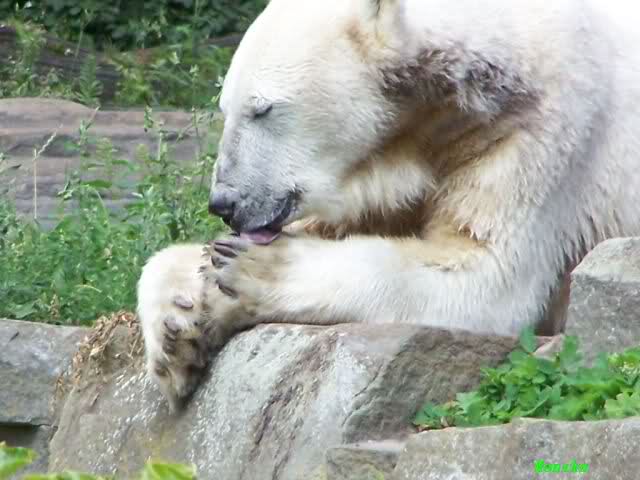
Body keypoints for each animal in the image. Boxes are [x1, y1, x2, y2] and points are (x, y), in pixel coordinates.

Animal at [138, 0, 640, 409]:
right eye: (225, 108)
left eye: (263, 109)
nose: (224, 202)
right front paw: (178, 329)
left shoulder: (540, 134)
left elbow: (486, 272)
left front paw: (251, 268)